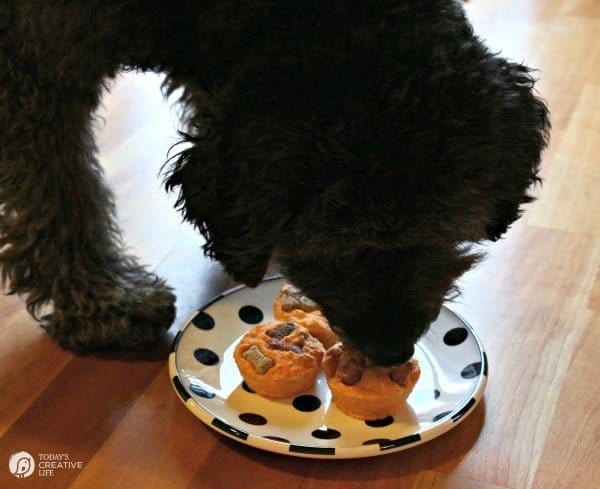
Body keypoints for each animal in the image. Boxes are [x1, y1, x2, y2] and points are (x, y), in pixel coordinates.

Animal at [0, 0, 548, 364]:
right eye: (333, 242)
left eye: (447, 226)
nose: (390, 350)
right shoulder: (36, 60)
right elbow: (59, 191)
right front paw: (102, 298)